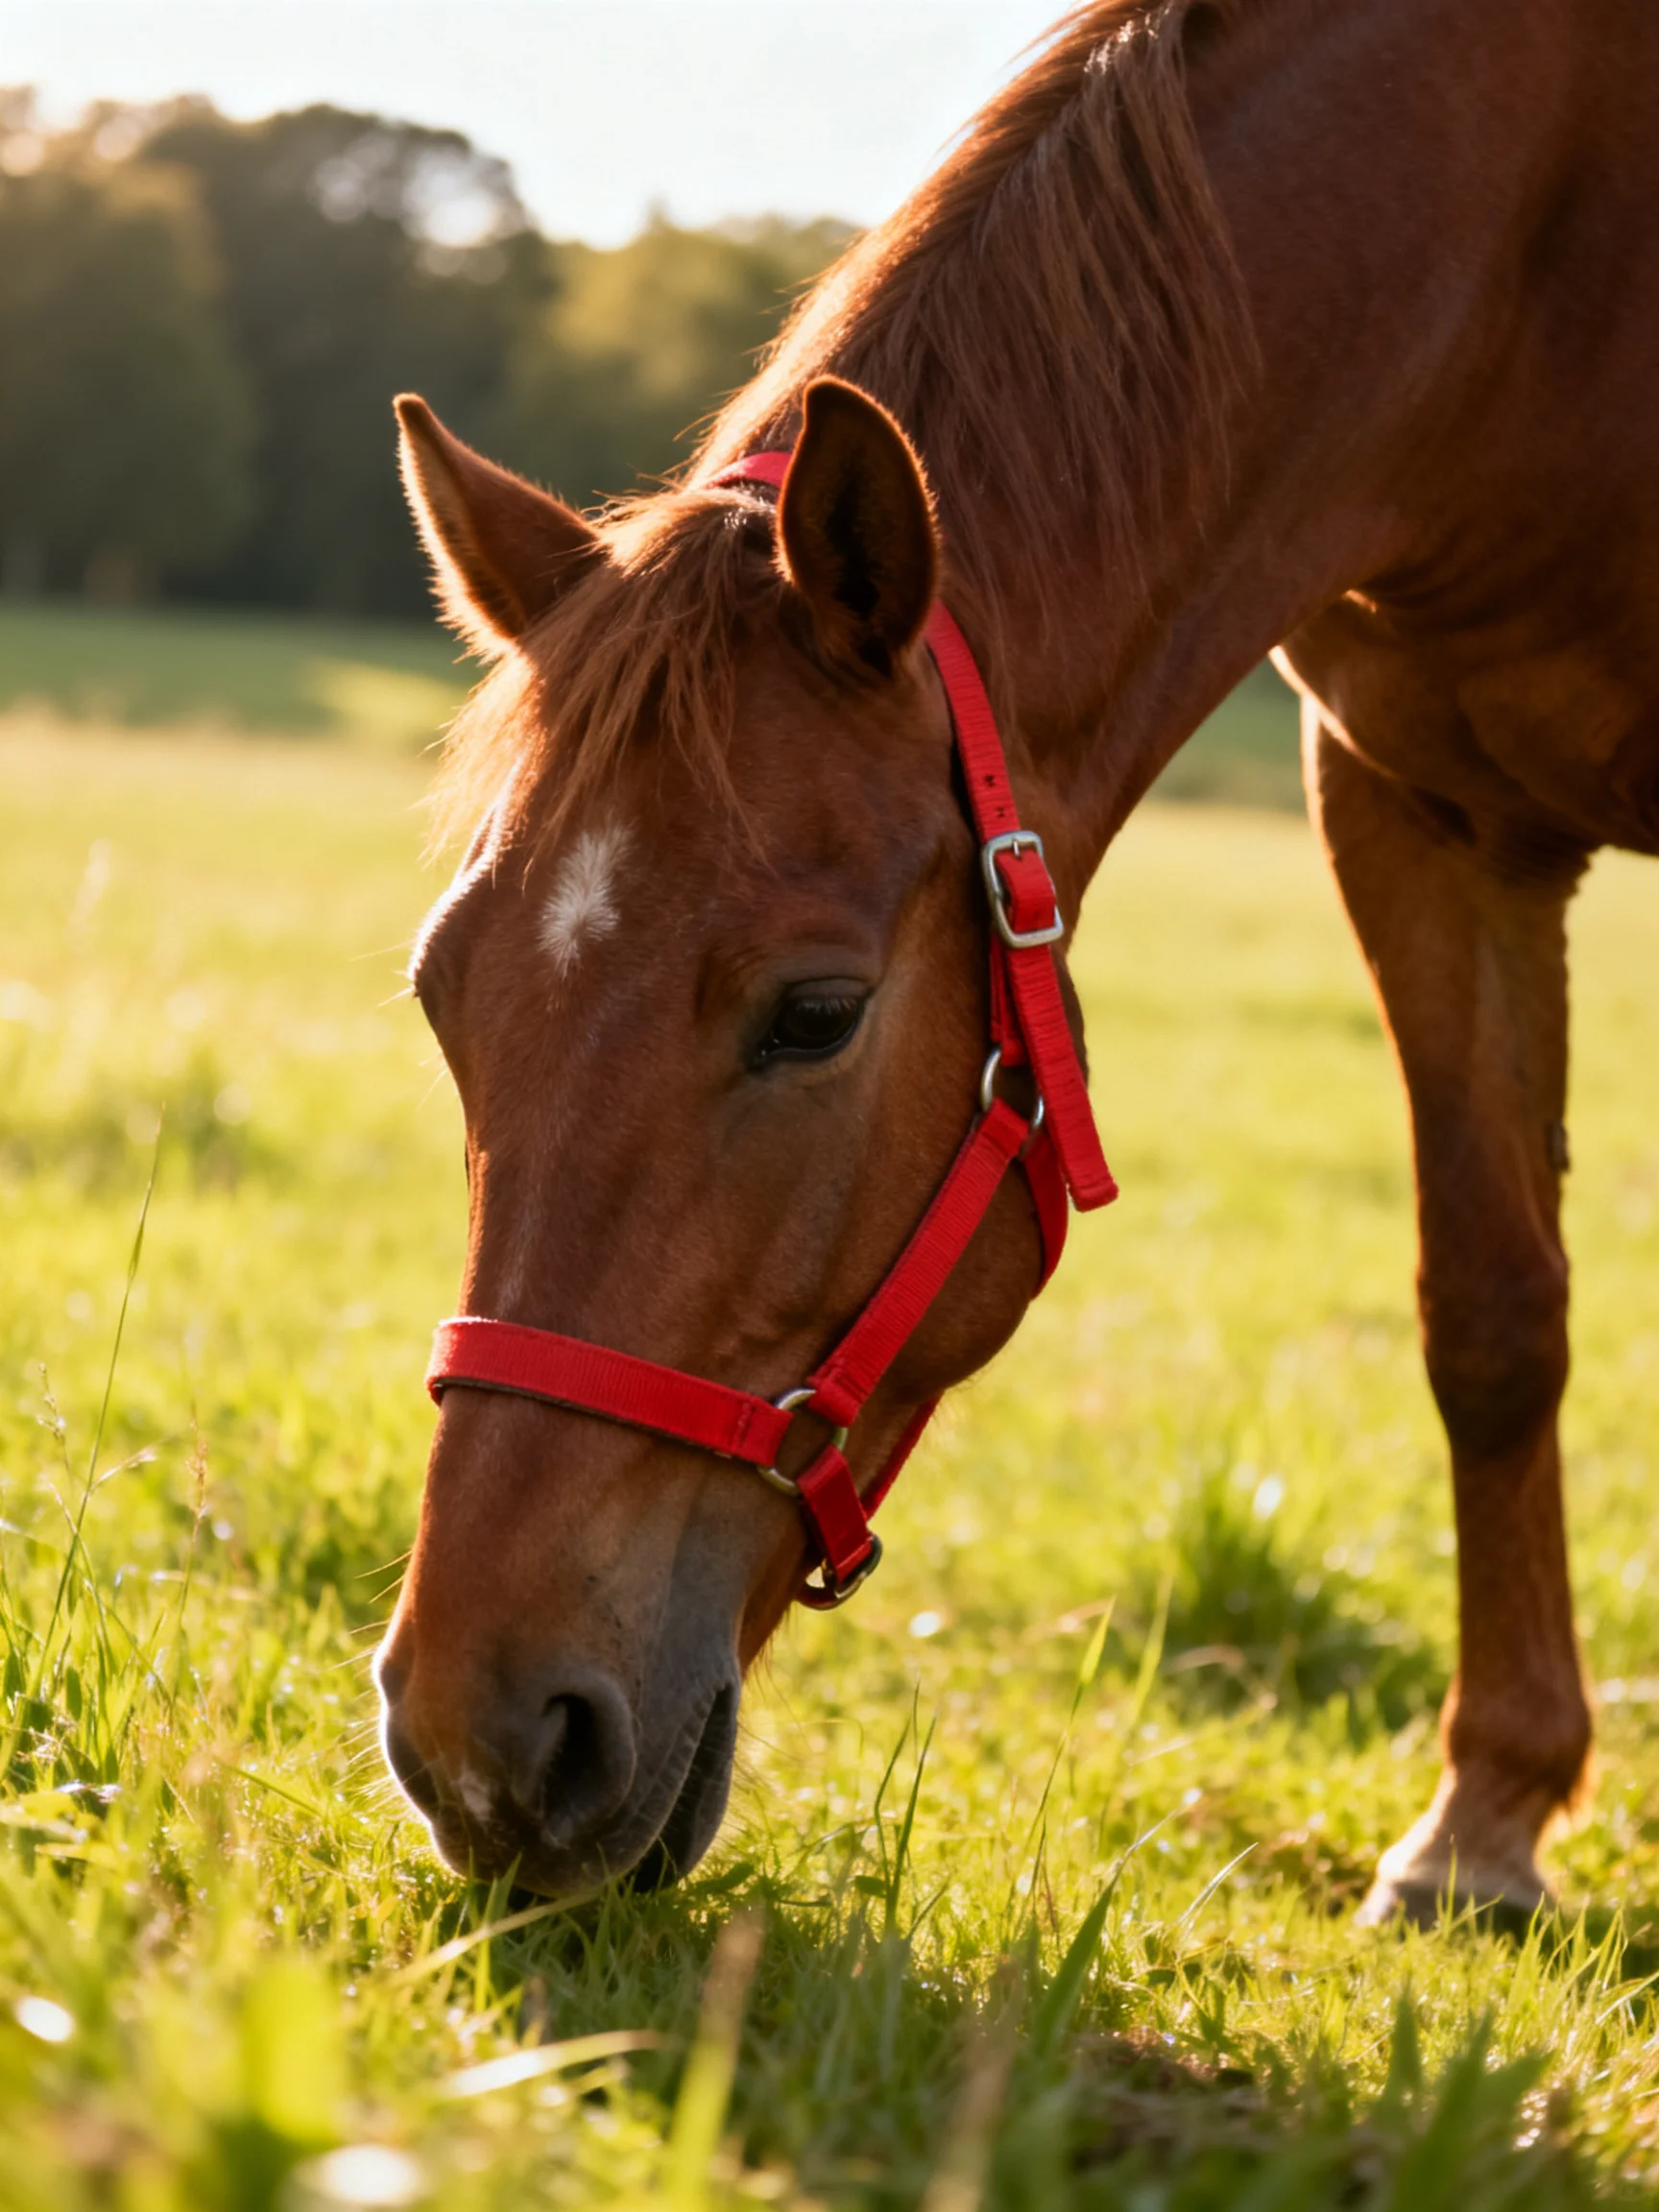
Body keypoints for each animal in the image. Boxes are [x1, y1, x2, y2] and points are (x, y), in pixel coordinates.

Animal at [375, 0, 1659, 1921]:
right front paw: (1484, 1822)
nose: (478, 1734)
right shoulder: (1413, 812)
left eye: (816, 1014)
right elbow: (1494, 1316)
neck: (1530, 254)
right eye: (447, 996)